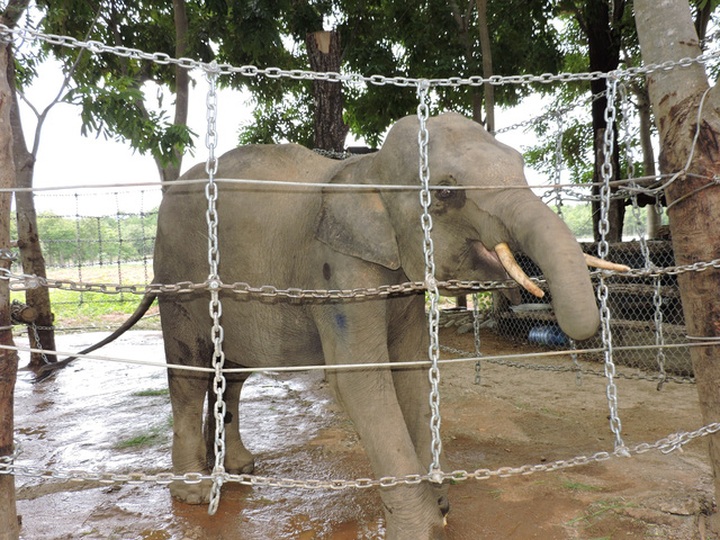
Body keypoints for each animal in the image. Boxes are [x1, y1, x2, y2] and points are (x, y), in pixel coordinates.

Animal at [47, 112, 623, 539]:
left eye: (521, 165)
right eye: (446, 192)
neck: (365, 169)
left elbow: (413, 369)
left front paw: (440, 506)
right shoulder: (338, 270)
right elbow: (361, 380)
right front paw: (421, 526)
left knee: (231, 375)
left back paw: (238, 470)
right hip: (180, 277)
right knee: (190, 371)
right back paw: (195, 492)